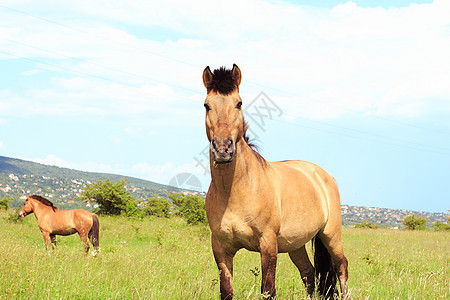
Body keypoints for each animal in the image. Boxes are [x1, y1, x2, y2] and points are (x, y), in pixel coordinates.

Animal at [203, 64, 348, 298]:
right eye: (207, 105)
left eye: (239, 103)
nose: (223, 149)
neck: (234, 191)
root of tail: (322, 174)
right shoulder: (221, 249)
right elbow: (226, 290)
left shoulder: (268, 245)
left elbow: (268, 290)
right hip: (296, 244)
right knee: (308, 273)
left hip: (330, 235)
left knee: (342, 266)